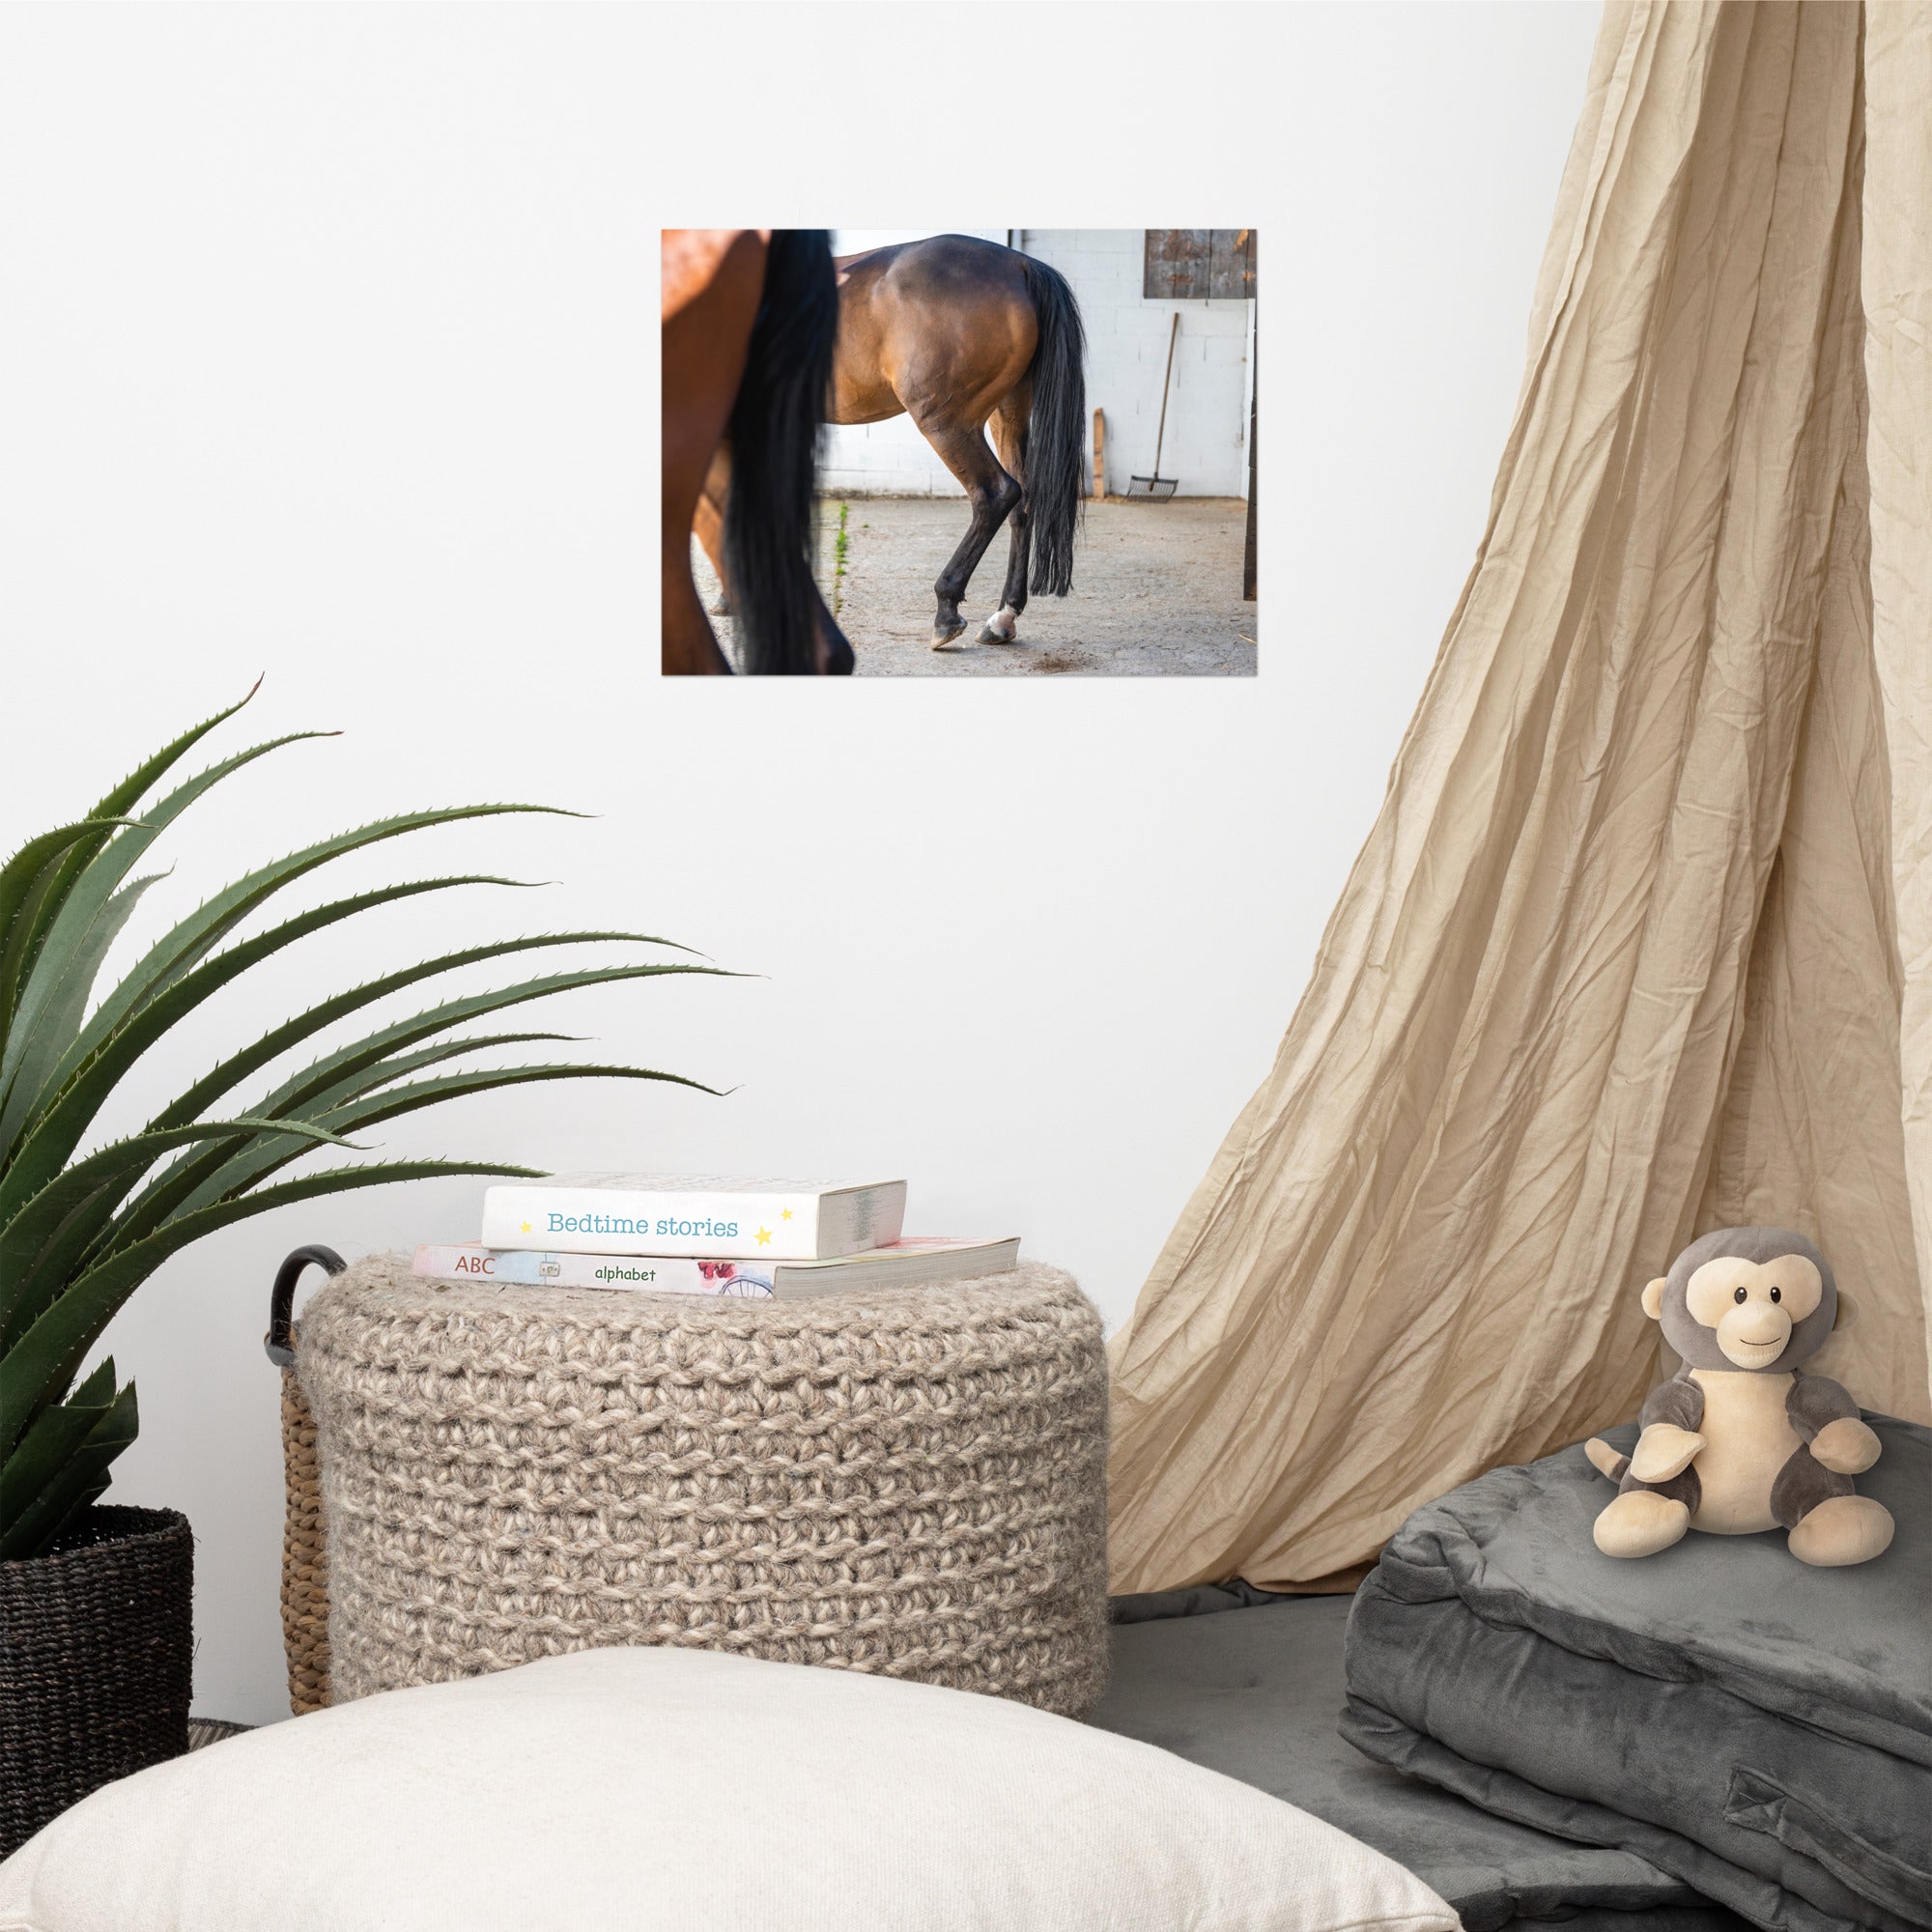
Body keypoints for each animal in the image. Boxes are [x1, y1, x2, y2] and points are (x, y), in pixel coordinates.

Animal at [699, 235, 1090, 653]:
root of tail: (1020, 265)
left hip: (947, 423)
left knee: (995, 494)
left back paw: (946, 610)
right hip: (1009, 413)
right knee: (1023, 503)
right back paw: (1002, 619)